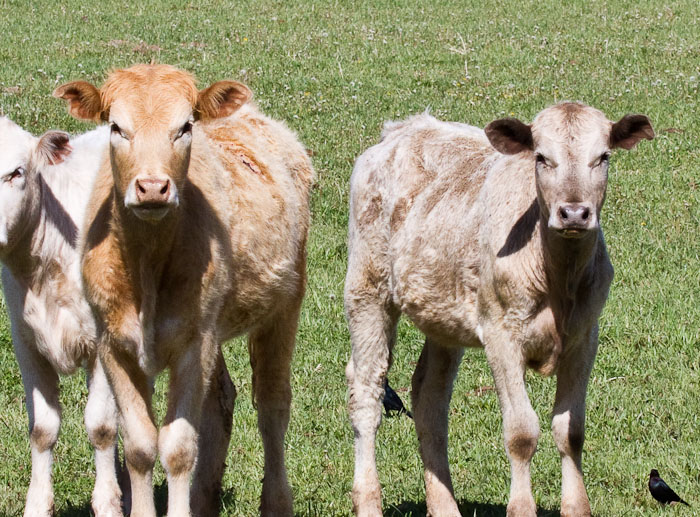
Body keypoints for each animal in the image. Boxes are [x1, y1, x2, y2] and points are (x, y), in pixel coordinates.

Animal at [0, 117, 120, 516]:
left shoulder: (101, 343)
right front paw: (37, 505)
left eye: (16, 173)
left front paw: (108, 503)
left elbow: (100, 426)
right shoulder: (25, 343)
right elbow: (42, 428)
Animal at [56, 64, 314, 516]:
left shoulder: (195, 343)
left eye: (184, 126)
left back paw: (276, 501)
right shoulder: (114, 344)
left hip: (284, 305)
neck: (147, 270)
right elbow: (140, 445)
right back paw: (203, 499)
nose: (152, 187)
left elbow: (177, 447)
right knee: (221, 401)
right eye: (116, 126)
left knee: (272, 403)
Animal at [348, 102, 652, 516]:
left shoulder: (585, 337)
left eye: (603, 157)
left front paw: (576, 507)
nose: (574, 213)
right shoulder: (500, 334)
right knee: (366, 392)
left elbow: (571, 431)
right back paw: (369, 500)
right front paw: (521, 508)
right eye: (541, 157)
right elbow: (521, 431)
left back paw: (445, 507)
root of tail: (403, 128)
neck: (558, 281)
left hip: (442, 313)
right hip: (367, 288)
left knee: (429, 398)